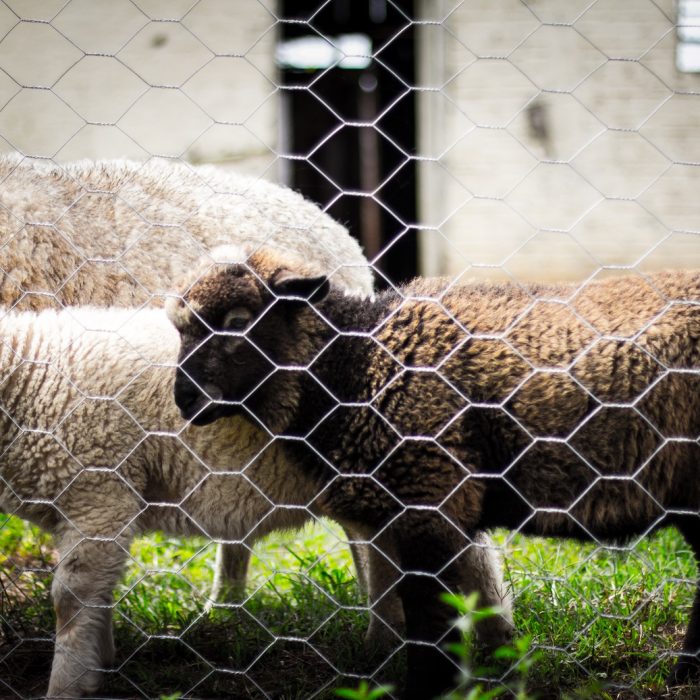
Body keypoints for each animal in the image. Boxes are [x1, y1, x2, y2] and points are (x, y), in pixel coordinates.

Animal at [168, 247, 700, 700]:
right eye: (180, 330)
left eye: (238, 323)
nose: (184, 399)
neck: (354, 365)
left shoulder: (427, 501)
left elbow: (429, 618)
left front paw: (430, 689)